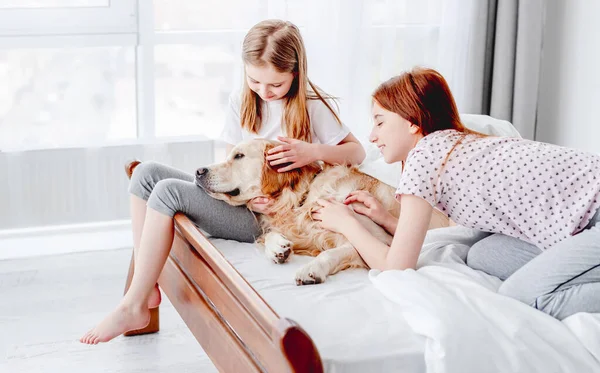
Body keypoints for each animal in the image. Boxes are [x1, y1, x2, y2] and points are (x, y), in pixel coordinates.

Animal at [197, 138, 450, 284]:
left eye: (239, 156)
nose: (199, 170)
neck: (302, 199)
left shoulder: (382, 241)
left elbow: (331, 253)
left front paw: (312, 269)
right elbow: (269, 235)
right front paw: (278, 247)